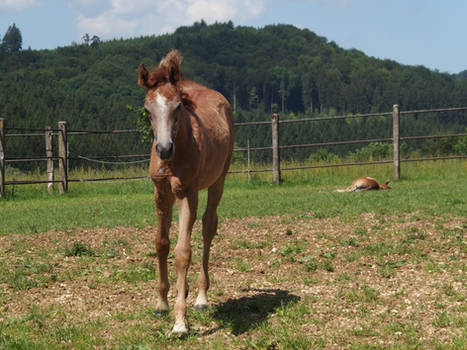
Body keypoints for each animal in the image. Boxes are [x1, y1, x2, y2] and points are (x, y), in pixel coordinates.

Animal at [138, 49, 234, 334]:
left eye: (178, 106)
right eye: (147, 109)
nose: (164, 149)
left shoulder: (186, 193)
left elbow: (182, 253)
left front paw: (180, 321)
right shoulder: (161, 194)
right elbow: (161, 243)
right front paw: (161, 304)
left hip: (217, 180)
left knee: (208, 227)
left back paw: (201, 297)